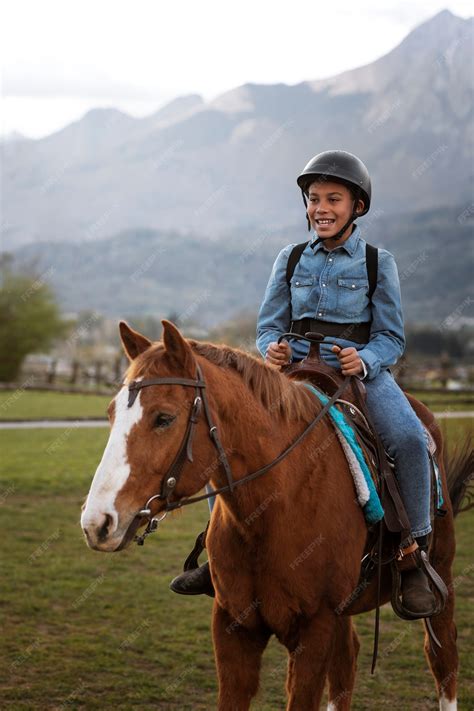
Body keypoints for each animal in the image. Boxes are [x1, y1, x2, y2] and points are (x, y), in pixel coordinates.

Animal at [81, 319, 471, 710]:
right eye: (111, 414)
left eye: (164, 418)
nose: (97, 521)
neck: (274, 508)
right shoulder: (233, 627)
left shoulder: (315, 628)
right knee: (347, 662)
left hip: (440, 578)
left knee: (443, 658)